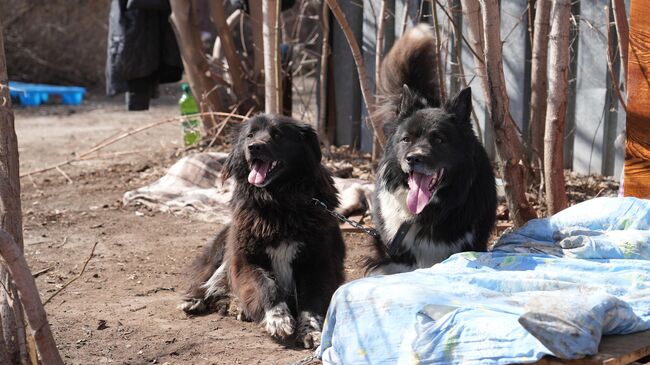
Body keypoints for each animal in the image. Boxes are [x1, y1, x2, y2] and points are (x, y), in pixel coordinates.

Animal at [180, 114, 346, 346]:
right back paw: (195, 299)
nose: (254, 147)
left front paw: (311, 331)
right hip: (221, 249)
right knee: (208, 277)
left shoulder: (316, 261)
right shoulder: (246, 259)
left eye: (277, 135)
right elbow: (267, 286)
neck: (279, 202)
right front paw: (278, 319)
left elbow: (311, 300)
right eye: (250, 135)